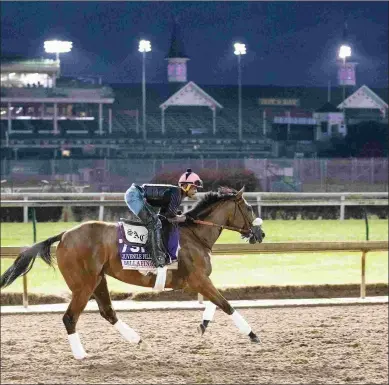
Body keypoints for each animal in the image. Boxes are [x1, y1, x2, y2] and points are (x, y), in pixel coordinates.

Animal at [0, 184, 264, 358]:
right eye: (249, 209)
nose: (260, 234)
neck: (195, 234)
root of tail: (64, 234)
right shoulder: (198, 279)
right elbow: (226, 304)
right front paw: (253, 335)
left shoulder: (199, 281)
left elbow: (217, 302)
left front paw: (204, 325)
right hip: (83, 284)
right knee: (70, 318)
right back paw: (82, 355)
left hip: (98, 280)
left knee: (108, 312)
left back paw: (139, 341)